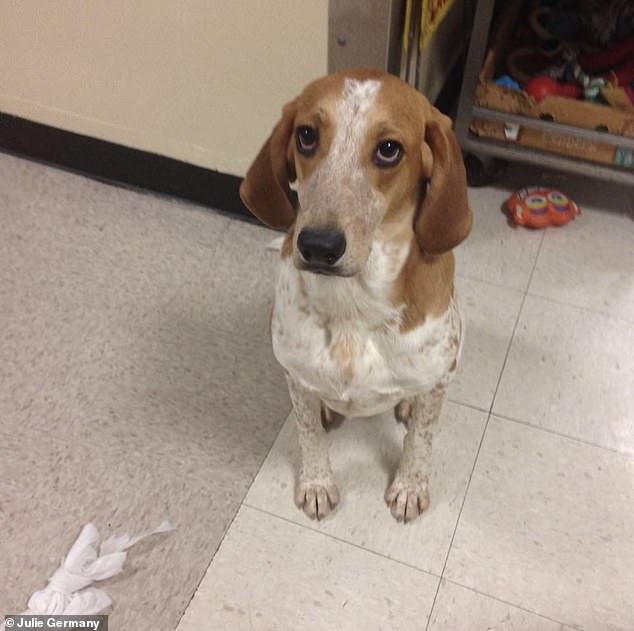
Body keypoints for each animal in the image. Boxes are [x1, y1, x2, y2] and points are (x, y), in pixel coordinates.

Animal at [239, 68, 472, 524]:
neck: (354, 304)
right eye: (306, 135)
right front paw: (316, 484)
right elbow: (308, 433)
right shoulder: (295, 375)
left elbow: (420, 440)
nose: (317, 245)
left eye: (389, 149)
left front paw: (409, 487)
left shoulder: (441, 375)